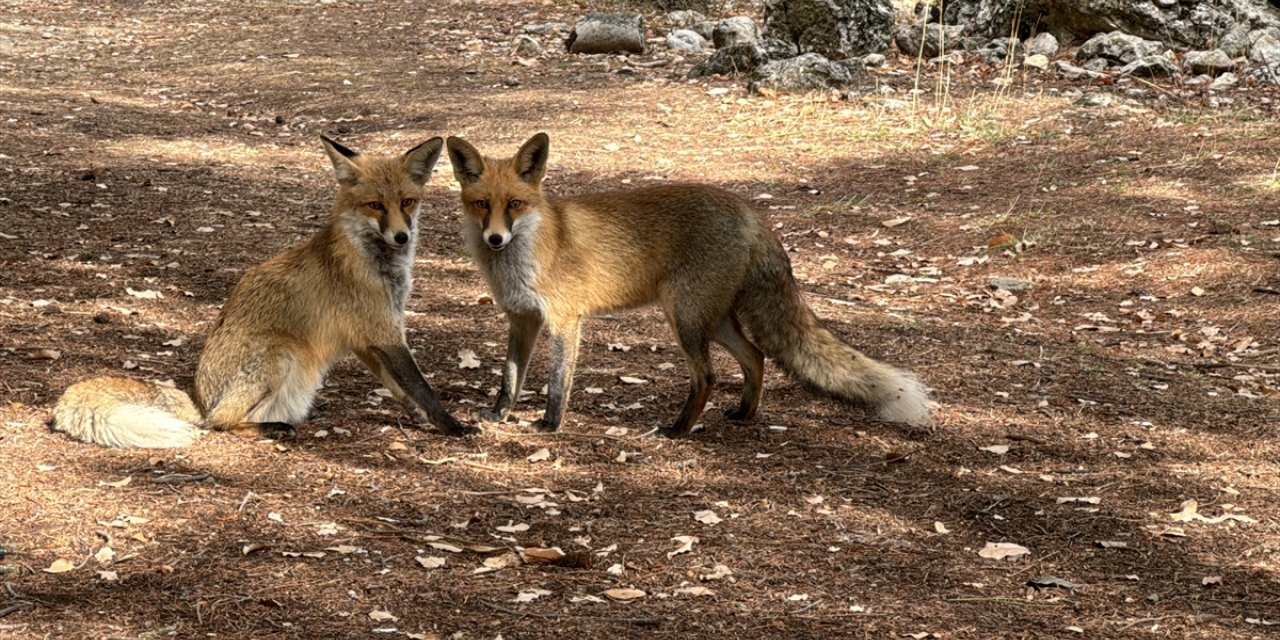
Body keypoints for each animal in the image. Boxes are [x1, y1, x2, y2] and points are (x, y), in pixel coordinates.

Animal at [48, 135, 481, 448]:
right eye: (374, 205)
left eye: (407, 202)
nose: (401, 236)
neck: (377, 262)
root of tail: (198, 394)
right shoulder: (386, 333)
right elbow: (423, 388)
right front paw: (453, 426)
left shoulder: (368, 339)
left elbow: (399, 388)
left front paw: (418, 419)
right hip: (280, 353)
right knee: (216, 422)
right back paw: (274, 428)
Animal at [442, 131, 931, 437]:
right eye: (482, 204)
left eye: (515, 204)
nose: (495, 239)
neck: (521, 258)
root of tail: (749, 211)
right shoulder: (521, 318)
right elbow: (509, 377)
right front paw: (498, 415)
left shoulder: (565, 320)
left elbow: (557, 381)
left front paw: (549, 424)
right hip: (712, 318)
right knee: (755, 357)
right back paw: (744, 414)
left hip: (685, 318)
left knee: (708, 376)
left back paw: (679, 430)